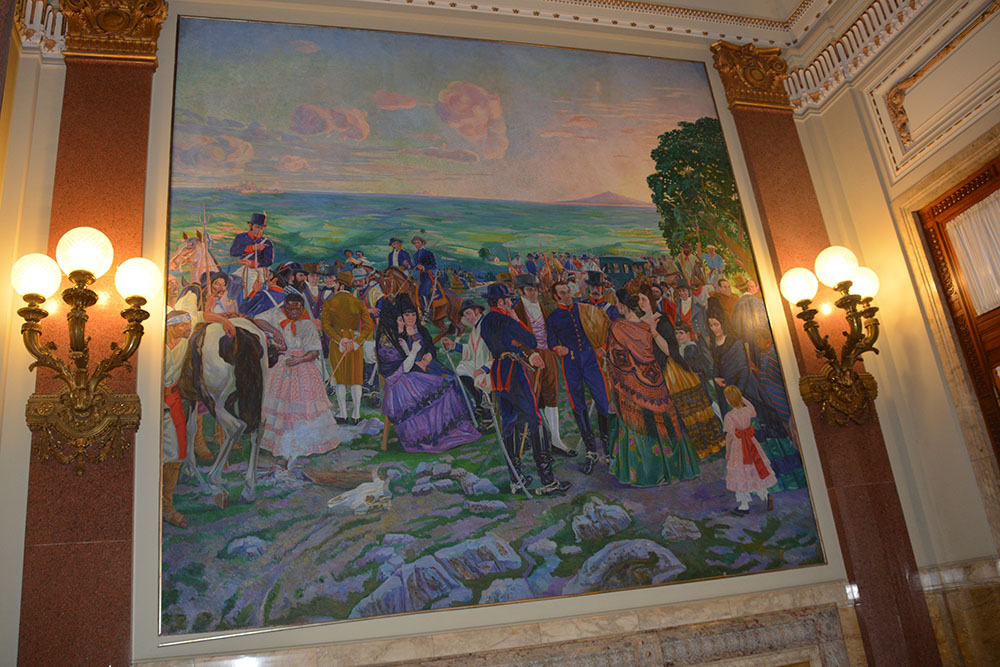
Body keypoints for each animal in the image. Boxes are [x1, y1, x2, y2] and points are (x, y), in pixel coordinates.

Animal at [181, 318, 268, 506]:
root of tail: (239, 332)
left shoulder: (193, 397)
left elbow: (190, 427)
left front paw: (189, 469)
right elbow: (192, 427)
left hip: (217, 401)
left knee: (236, 427)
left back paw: (214, 482)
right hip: (258, 395)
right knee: (259, 426)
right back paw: (249, 489)